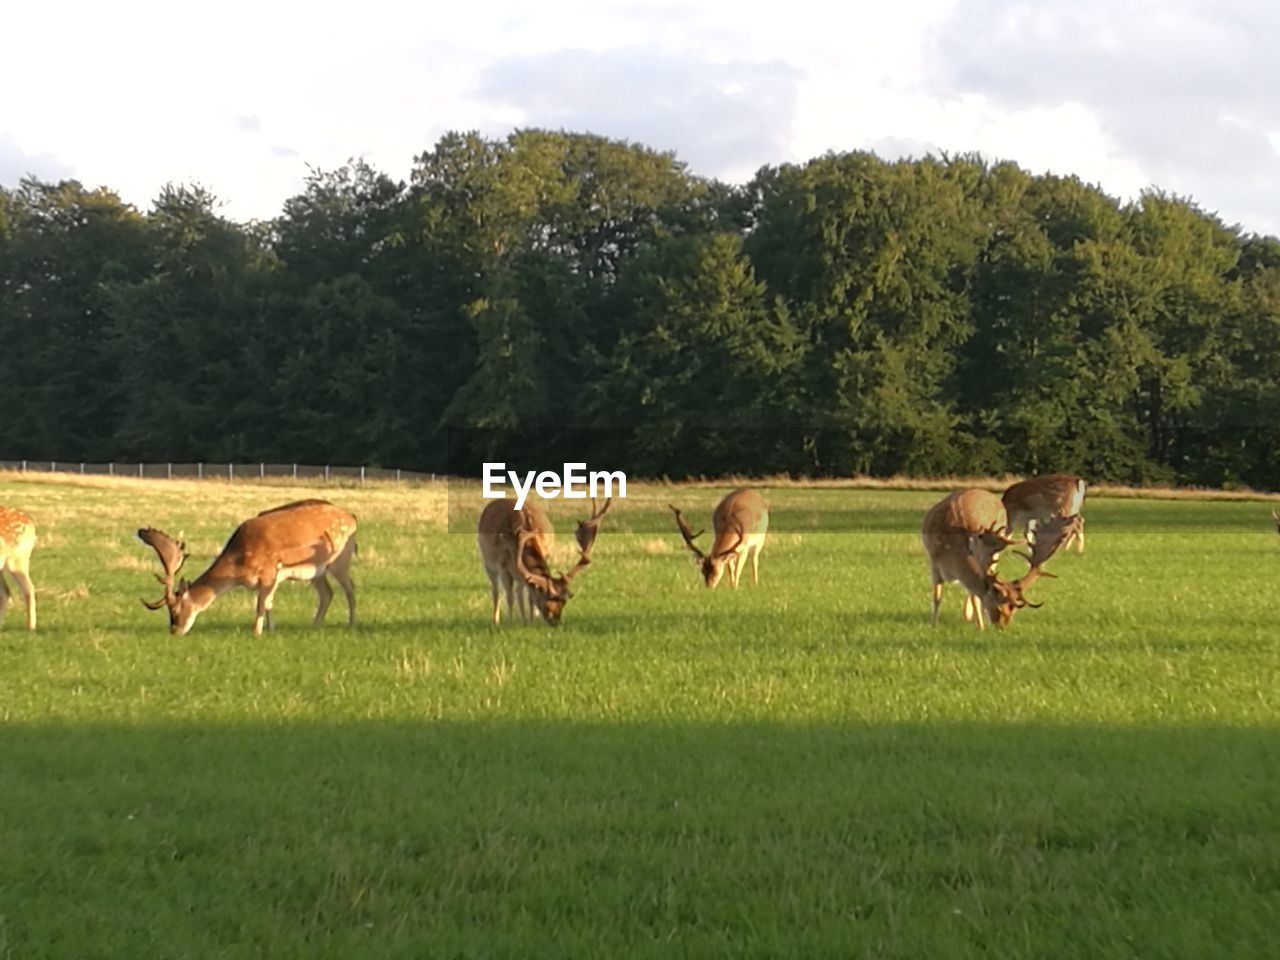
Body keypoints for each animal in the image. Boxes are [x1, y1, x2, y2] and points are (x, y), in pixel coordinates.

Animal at [138, 499, 355, 634]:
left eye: (176, 609)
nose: (174, 631)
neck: (239, 567)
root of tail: (352, 519)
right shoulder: (273, 578)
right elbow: (269, 603)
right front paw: (271, 630)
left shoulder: (269, 572)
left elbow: (260, 604)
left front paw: (256, 633)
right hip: (315, 572)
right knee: (327, 593)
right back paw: (315, 626)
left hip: (339, 559)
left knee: (350, 588)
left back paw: (351, 623)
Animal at [478, 496, 611, 632]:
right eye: (549, 598)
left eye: (565, 600)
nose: (556, 622)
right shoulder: (503, 566)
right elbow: (509, 597)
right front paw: (510, 622)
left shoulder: (543, 557)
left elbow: (529, 596)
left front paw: (531, 621)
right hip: (487, 562)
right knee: (496, 590)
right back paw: (496, 620)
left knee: (518, 591)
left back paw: (524, 619)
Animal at [916, 488, 1064, 632]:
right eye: (998, 605)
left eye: (1013, 611)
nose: (1002, 627)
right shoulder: (933, 561)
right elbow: (937, 596)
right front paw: (933, 625)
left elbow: (975, 596)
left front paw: (980, 626)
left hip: (993, 553)